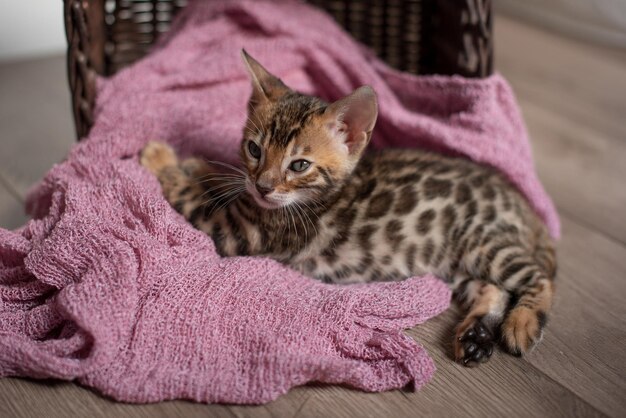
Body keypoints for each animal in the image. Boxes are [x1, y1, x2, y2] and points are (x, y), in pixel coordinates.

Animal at [139, 50, 552, 366]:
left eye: (299, 165)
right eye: (254, 149)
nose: (263, 186)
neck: (316, 196)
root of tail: (524, 206)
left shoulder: (237, 229)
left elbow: (188, 194)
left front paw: (161, 157)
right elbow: (222, 182)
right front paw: (202, 166)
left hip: (480, 241)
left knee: (537, 277)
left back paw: (521, 323)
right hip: (455, 265)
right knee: (494, 289)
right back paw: (475, 336)